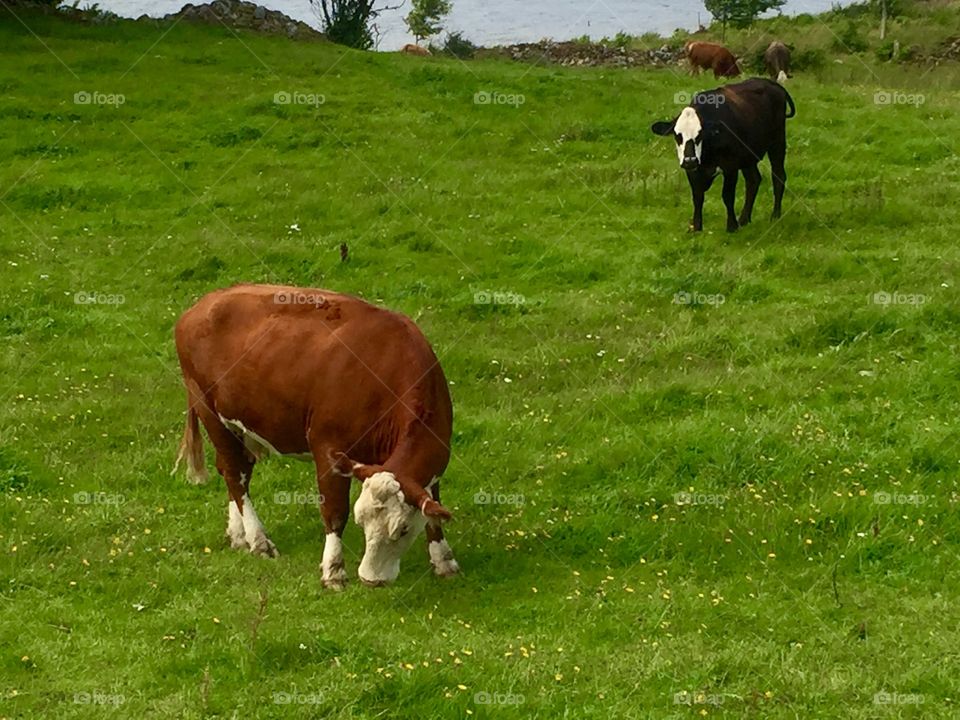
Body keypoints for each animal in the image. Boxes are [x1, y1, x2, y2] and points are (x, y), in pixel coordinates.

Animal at [172, 284, 459, 589]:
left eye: (403, 529)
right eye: (361, 522)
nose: (370, 579)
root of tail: (203, 303)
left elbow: (433, 509)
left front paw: (444, 559)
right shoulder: (327, 447)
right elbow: (334, 512)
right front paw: (334, 571)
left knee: (232, 471)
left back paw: (238, 535)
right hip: (208, 409)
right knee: (235, 475)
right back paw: (258, 540)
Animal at [651, 78, 796, 233]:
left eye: (699, 135)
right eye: (677, 135)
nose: (690, 160)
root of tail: (768, 82)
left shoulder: (730, 166)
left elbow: (727, 196)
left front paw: (731, 227)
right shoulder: (693, 171)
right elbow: (697, 196)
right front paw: (697, 227)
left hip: (777, 141)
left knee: (778, 176)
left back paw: (775, 215)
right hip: (748, 155)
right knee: (754, 180)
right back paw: (744, 219)